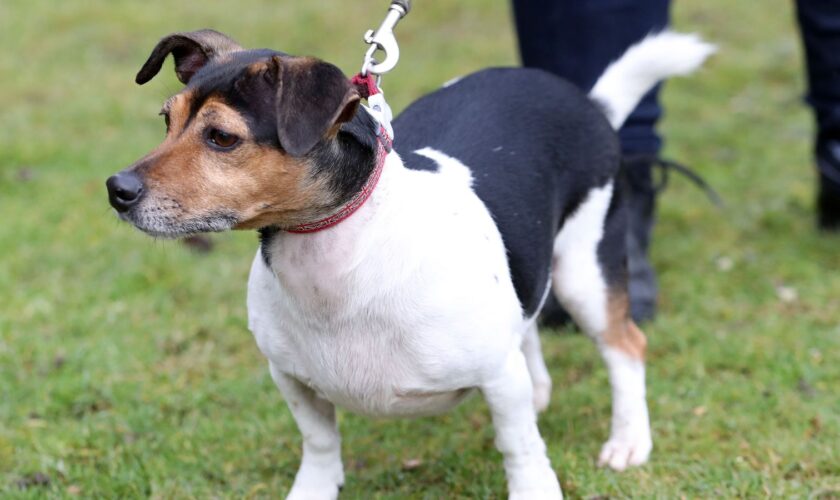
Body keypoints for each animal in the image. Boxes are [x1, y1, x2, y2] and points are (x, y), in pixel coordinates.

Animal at [103, 29, 708, 498]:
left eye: (222, 138)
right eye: (166, 120)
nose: (116, 189)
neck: (337, 262)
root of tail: (587, 101)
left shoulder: (497, 375)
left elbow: (520, 449)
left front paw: (536, 487)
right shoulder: (291, 378)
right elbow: (319, 444)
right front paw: (313, 489)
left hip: (587, 273)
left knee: (625, 347)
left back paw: (628, 440)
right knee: (529, 319)